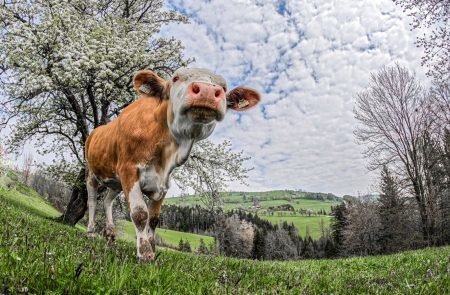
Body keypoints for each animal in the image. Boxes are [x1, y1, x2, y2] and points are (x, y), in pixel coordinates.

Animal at [85, 67, 260, 264]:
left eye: (223, 87)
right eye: (175, 78)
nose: (207, 91)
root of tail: (96, 130)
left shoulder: (163, 183)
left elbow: (153, 219)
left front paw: (153, 249)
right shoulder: (128, 170)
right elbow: (140, 214)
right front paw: (145, 253)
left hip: (115, 182)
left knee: (107, 201)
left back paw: (110, 237)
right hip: (91, 172)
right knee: (92, 201)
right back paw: (91, 233)